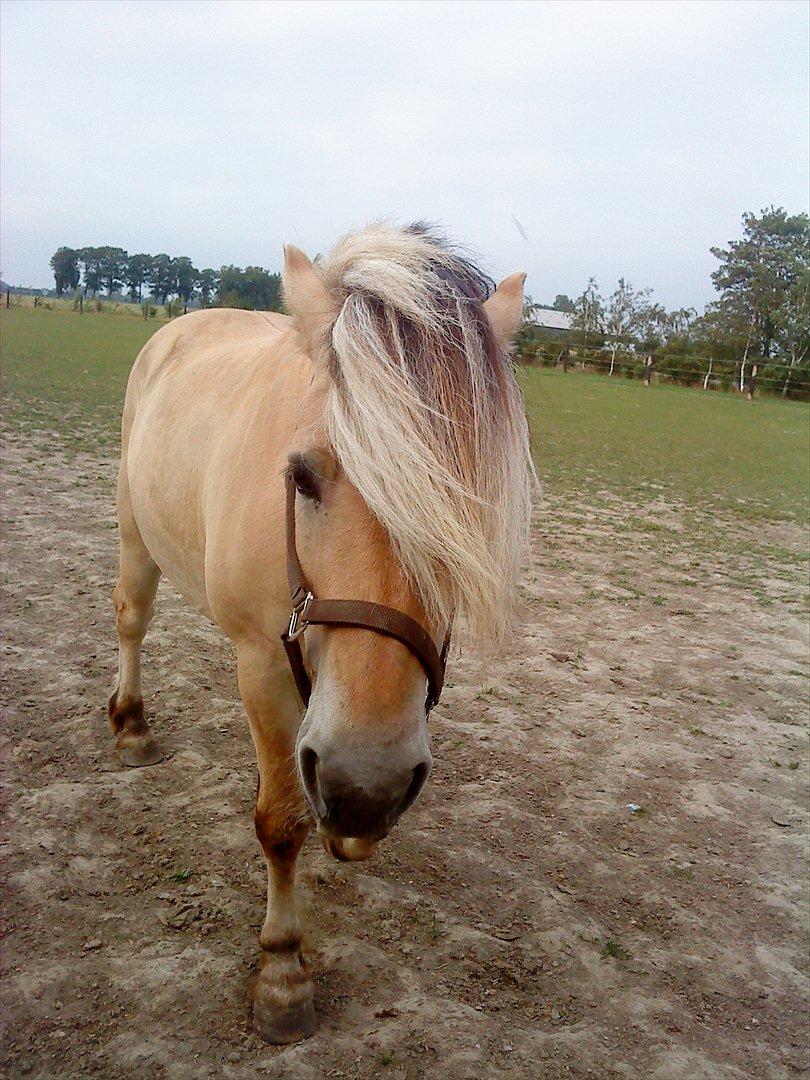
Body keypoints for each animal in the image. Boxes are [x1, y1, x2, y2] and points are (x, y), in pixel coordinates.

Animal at [109, 223, 540, 1041]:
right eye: (303, 477)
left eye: (465, 501)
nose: (365, 782)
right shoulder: (261, 663)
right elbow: (280, 821)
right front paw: (282, 974)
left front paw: (351, 825)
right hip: (134, 530)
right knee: (131, 620)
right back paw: (131, 726)